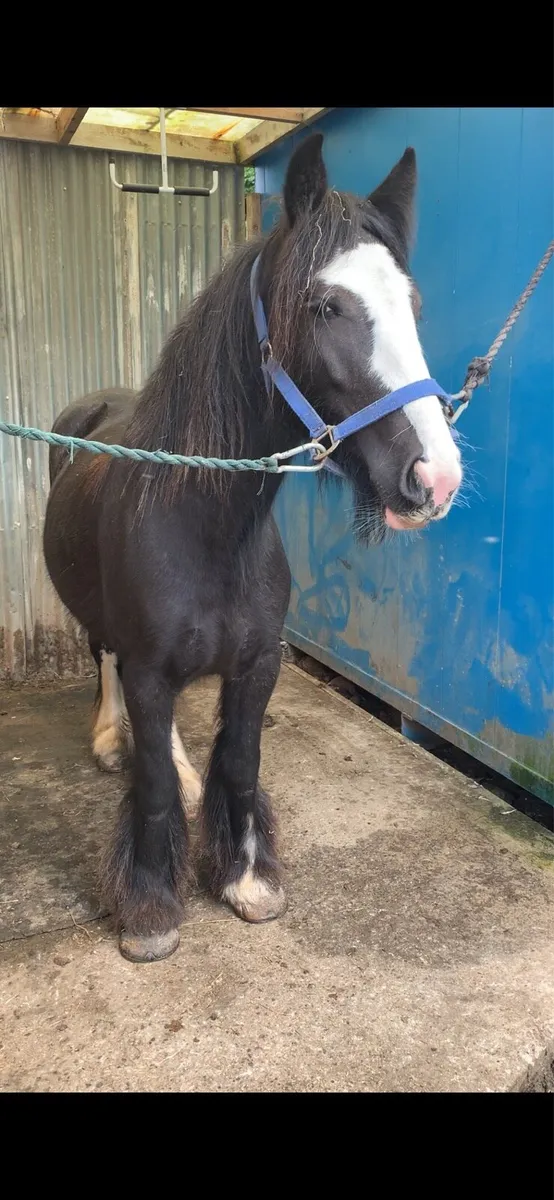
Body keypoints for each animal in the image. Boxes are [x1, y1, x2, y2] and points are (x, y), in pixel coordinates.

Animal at [43, 133, 463, 963]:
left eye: (412, 307)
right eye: (325, 305)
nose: (435, 476)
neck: (207, 528)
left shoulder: (258, 665)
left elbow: (237, 764)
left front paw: (245, 879)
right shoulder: (148, 669)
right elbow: (153, 787)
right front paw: (150, 908)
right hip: (105, 635)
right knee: (104, 663)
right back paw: (109, 739)